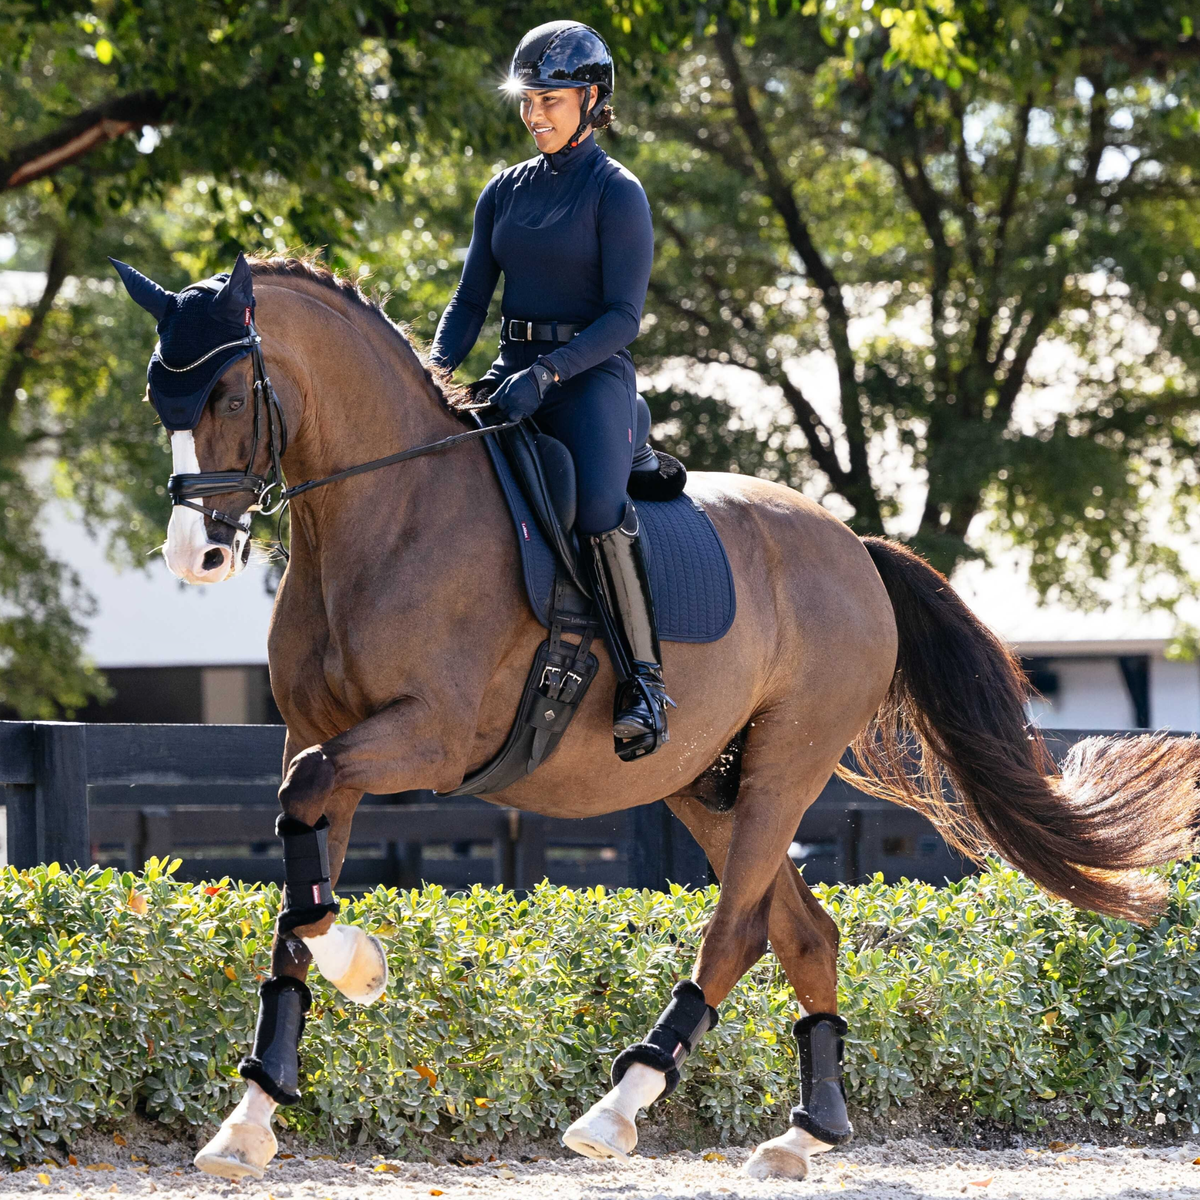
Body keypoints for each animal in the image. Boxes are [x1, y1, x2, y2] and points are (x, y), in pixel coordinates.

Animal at [115, 253, 1200, 1182]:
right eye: (159, 398)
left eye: (224, 395)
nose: (193, 557)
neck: (388, 513)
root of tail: (855, 548)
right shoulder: (317, 735)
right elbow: (297, 899)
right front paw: (250, 1117)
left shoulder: (430, 736)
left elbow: (310, 861)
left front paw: (363, 966)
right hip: (702, 783)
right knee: (803, 933)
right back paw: (804, 1135)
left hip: (783, 767)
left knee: (734, 933)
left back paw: (621, 1105)